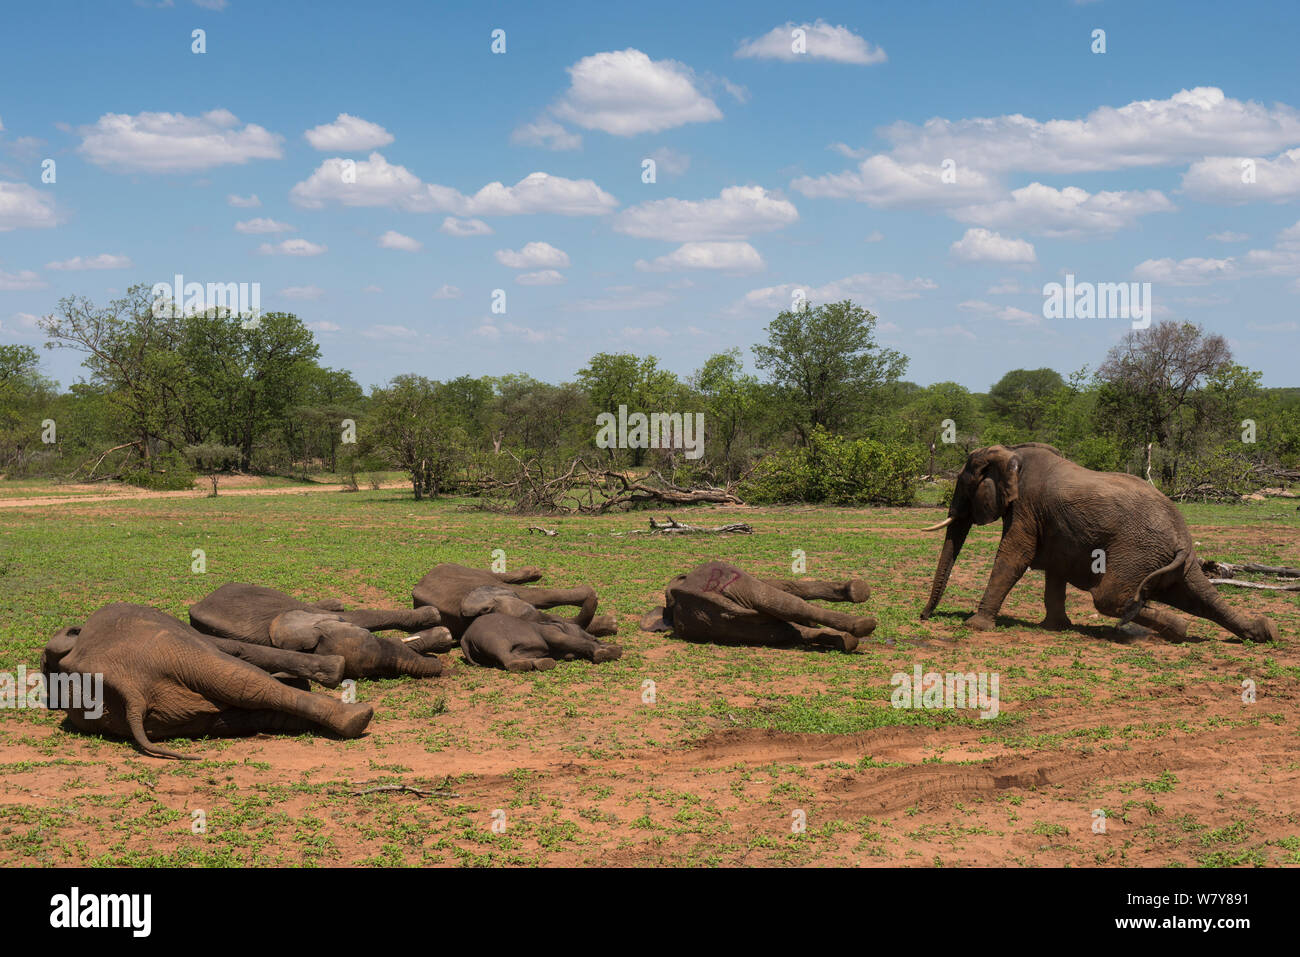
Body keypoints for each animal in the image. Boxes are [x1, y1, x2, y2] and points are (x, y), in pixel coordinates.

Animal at [40, 605, 374, 754]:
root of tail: (130, 693)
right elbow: (236, 649)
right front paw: (333, 669)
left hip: (167, 714)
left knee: (243, 707)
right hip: (170, 651)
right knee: (245, 682)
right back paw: (357, 717)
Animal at [637, 561, 873, 650]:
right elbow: (790, 590)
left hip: (725, 627)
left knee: (790, 630)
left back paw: (846, 640)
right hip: (731, 577)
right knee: (786, 604)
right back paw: (862, 624)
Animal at [925, 442, 1279, 642]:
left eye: (963, 484)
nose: (924, 617)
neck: (1011, 453)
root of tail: (1181, 536)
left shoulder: (1025, 506)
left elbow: (1015, 557)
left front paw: (975, 626)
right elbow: (1054, 570)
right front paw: (1055, 627)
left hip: (1136, 550)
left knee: (1108, 598)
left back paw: (1175, 631)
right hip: (1173, 560)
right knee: (1202, 596)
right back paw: (1262, 632)